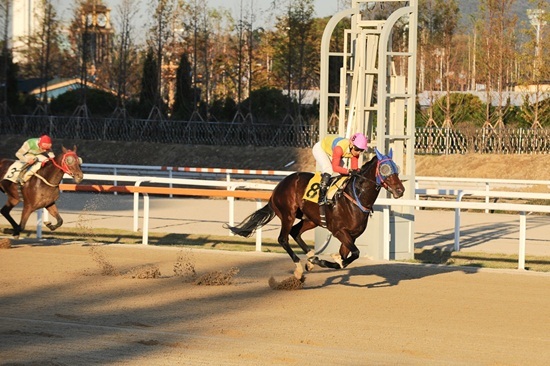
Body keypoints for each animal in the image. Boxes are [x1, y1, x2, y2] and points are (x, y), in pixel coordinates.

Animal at [226, 147, 408, 278]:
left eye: (397, 169)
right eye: (385, 169)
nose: (400, 190)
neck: (355, 197)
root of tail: (278, 187)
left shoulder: (352, 235)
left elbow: (346, 256)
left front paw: (327, 261)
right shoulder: (339, 231)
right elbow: (354, 253)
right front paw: (327, 261)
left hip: (311, 219)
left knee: (295, 232)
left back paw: (311, 258)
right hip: (288, 214)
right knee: (283, 238)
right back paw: (300, 267)